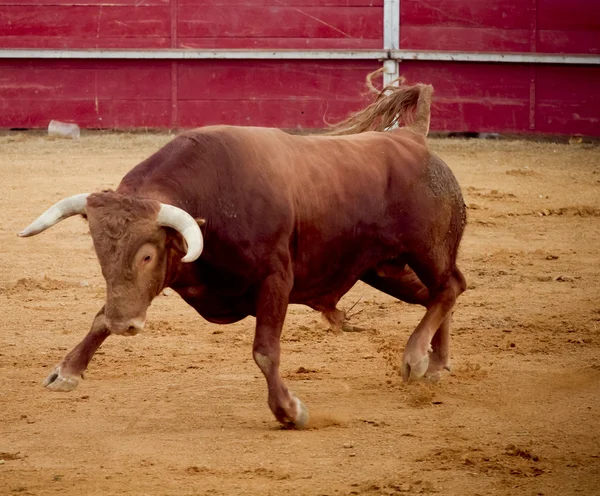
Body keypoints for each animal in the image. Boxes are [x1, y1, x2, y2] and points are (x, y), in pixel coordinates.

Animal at [19, 75, 468, 428]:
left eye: (147, 255)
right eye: (100, 251)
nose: (125, 324)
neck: (211, 200)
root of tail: (413, 138)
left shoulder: (276, 278)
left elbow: (265, 351)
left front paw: (289, 411)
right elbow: (99, 316)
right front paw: (67, 372)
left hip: (427, 249)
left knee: (449, 286)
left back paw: (415, 358)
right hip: (384, 269)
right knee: (437, 294)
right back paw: (437, 364)